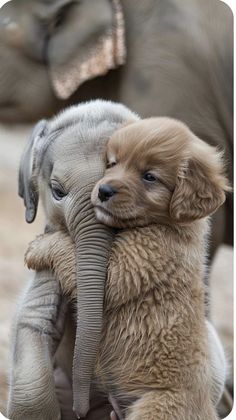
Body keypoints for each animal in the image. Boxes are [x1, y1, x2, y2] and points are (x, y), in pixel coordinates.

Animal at [25, 118, 229, 420]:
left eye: (149, 176)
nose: (103, 191)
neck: (166, 224)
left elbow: (69, 253)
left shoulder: (134, 265)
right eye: (112, 163)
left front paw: (37, 248)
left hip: (156, 407)